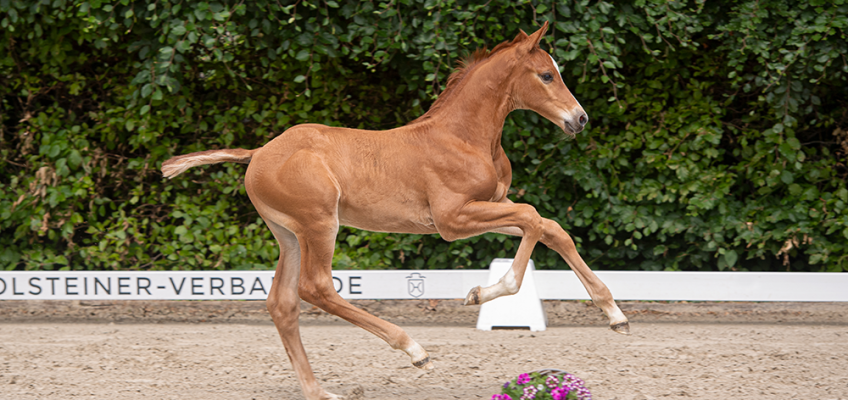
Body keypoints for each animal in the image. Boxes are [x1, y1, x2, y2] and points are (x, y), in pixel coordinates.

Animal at [162, 21, 628, 400]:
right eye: (547, 75)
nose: (580, 119)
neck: (464, 136)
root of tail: (258, 153)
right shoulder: (453, 220)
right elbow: (533, 218)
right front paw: (481, 293)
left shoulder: (492, 206)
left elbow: (551, 228)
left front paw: (616, 316)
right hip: (318, 224)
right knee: (316, 288)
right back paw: (414, 350)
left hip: (288, 234)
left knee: (283, 303)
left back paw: (319, 391)